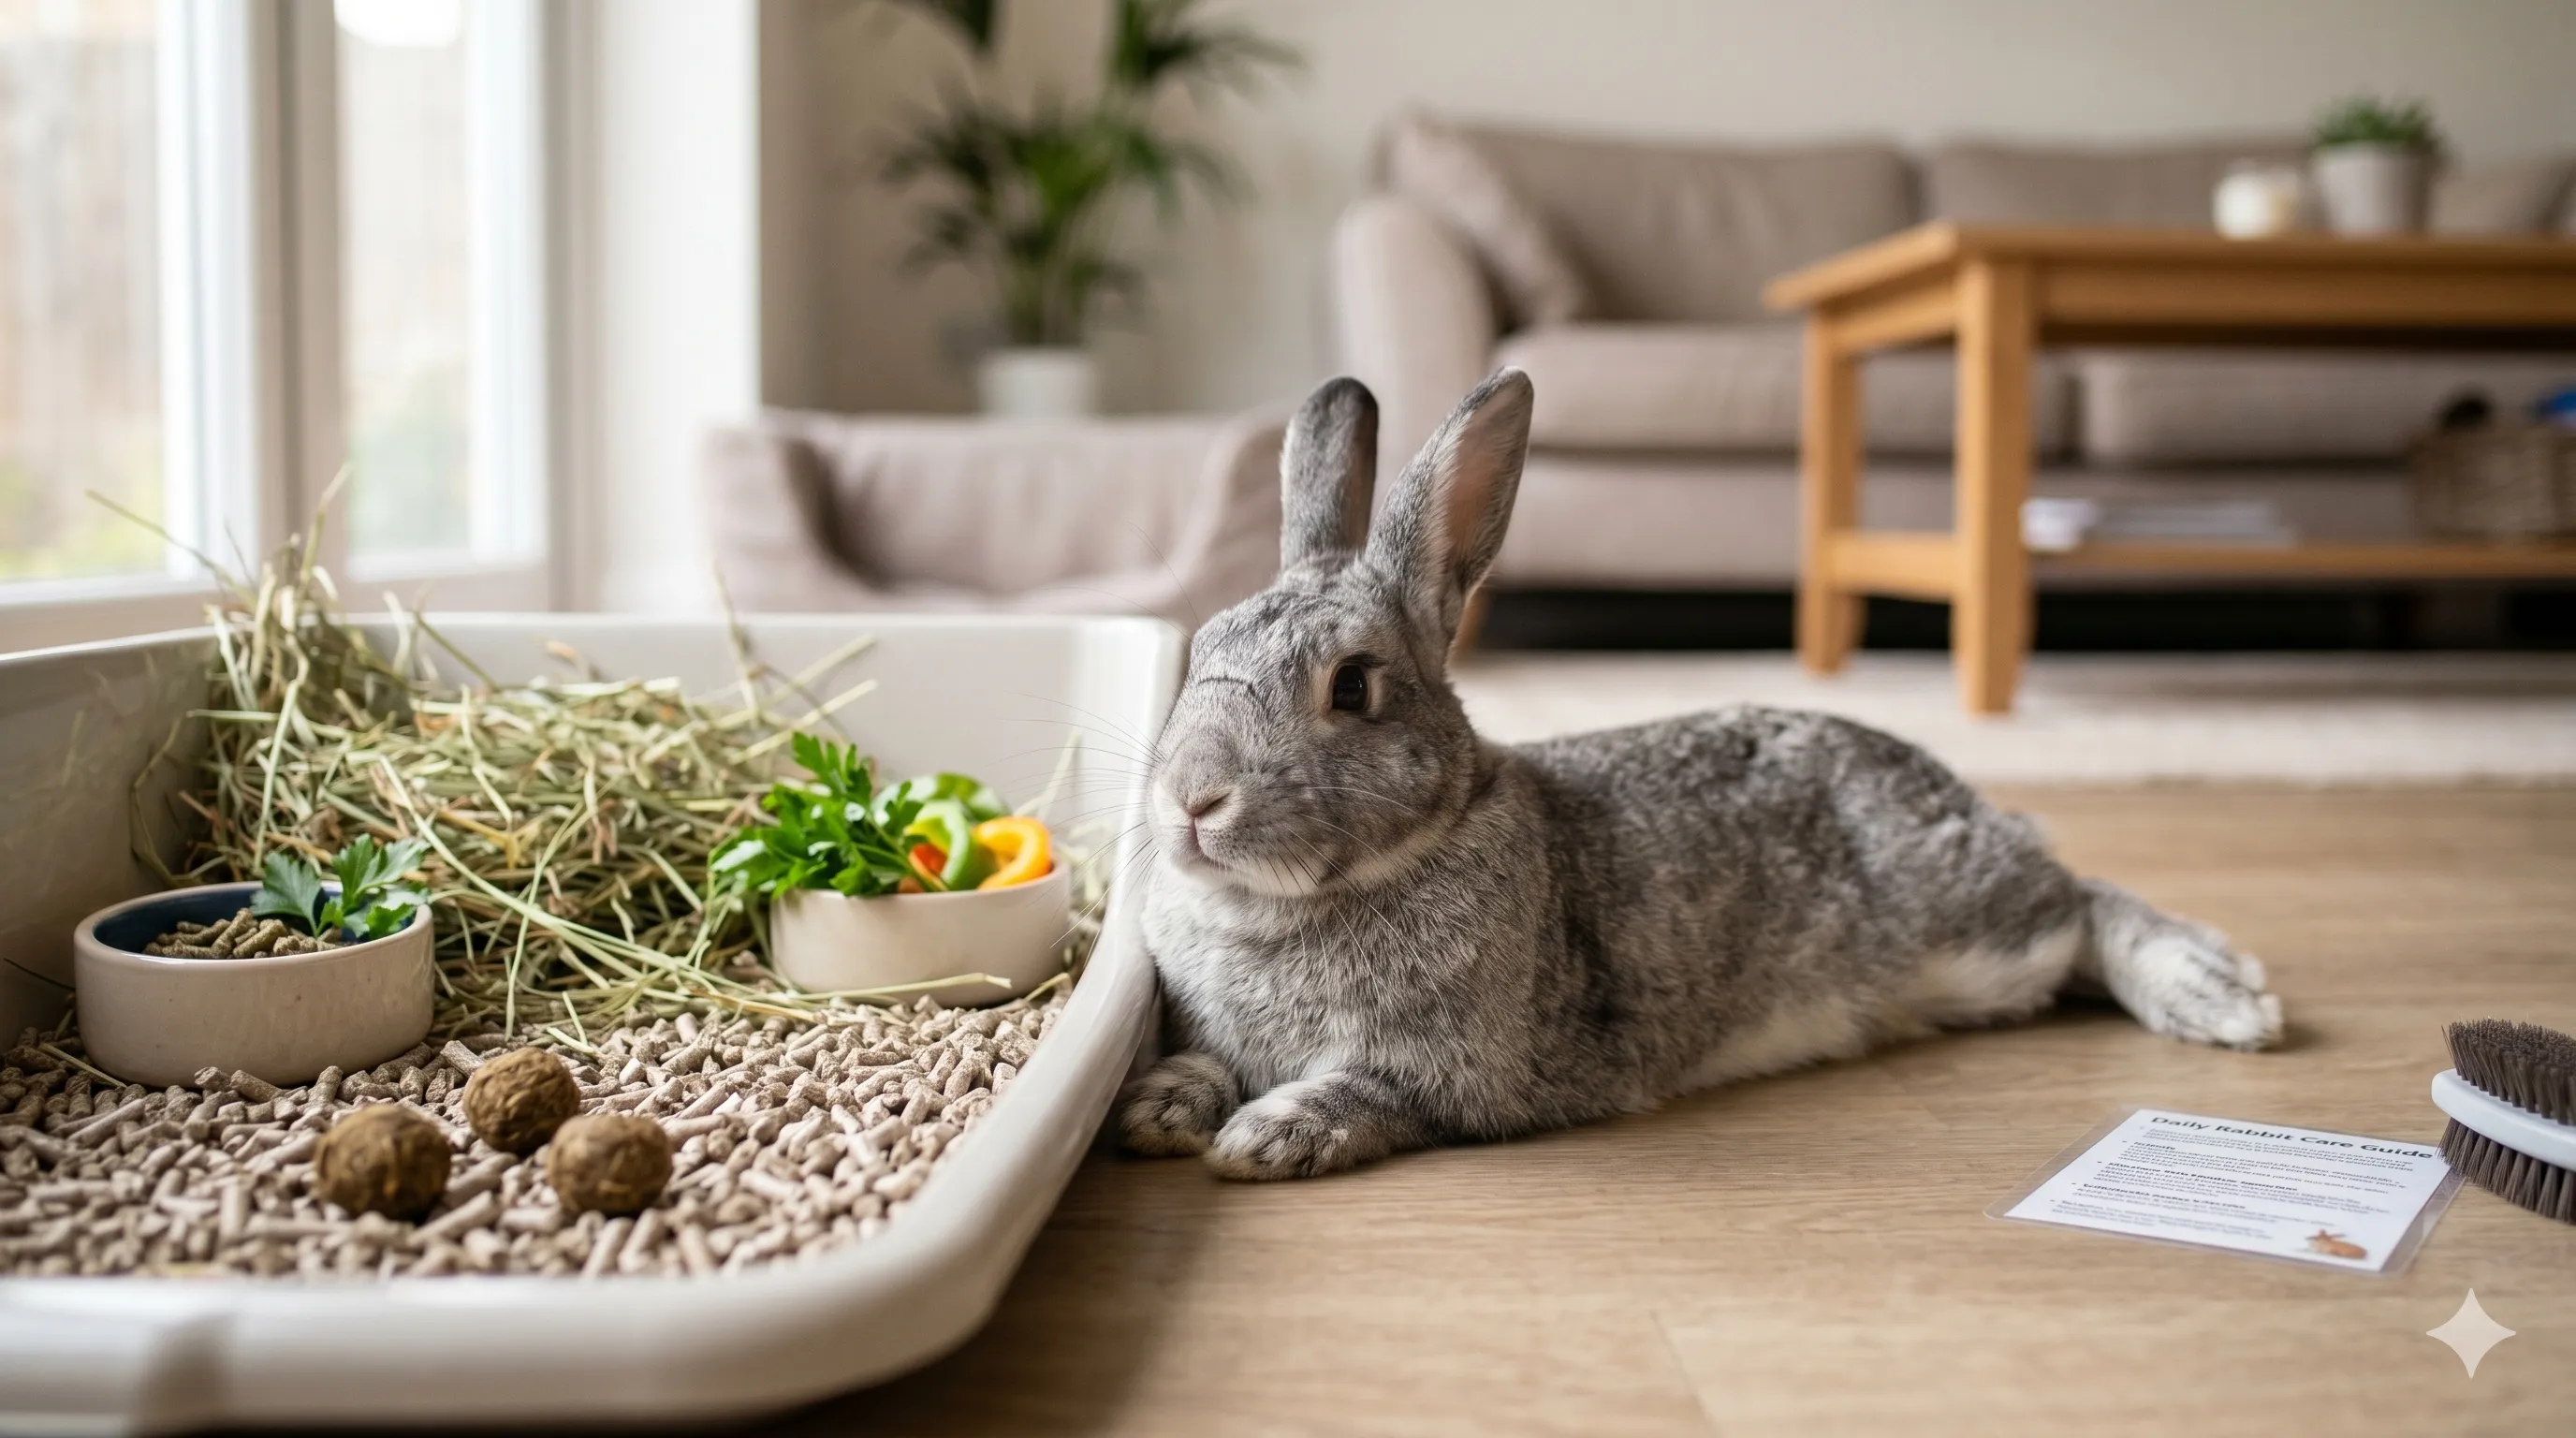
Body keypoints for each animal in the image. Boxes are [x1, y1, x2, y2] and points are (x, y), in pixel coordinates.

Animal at [1120, 370, 2284, 1182]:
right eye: (1201, 646)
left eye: (1352, 686)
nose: (1190, 800)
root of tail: (1940, 783)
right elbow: (1202, 1066)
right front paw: (1155, 1109)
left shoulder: (1463, 1077)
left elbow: (1369, 1093)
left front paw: (1268, 1136)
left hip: (1978, 931)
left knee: (2079, 895)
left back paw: (2217, 995)